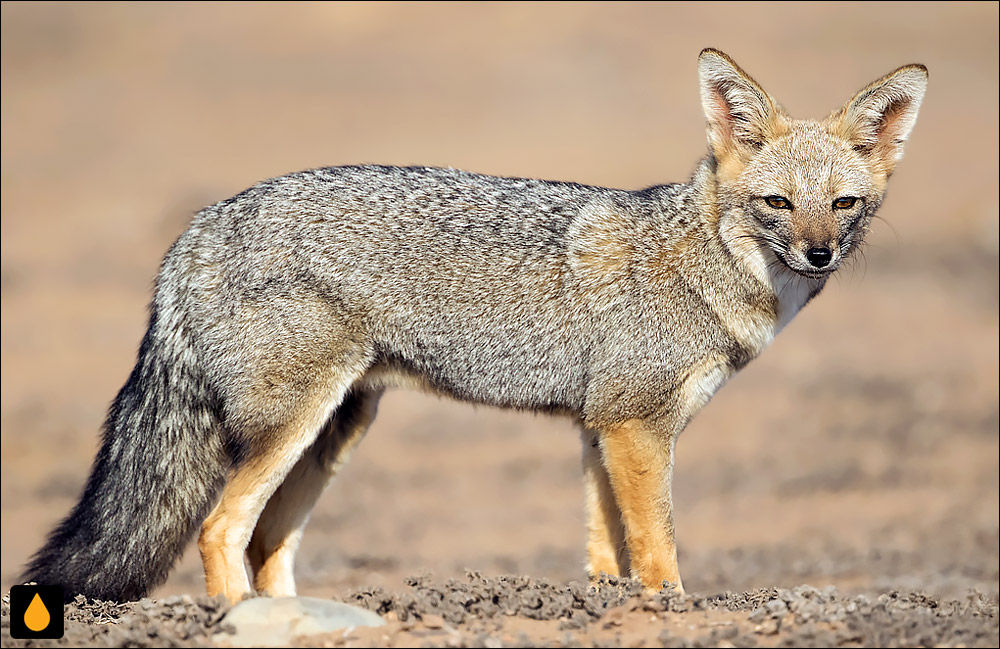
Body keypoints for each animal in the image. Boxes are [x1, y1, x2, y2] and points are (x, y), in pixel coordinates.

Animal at [25, 50, 928, 604]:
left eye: (844, 203)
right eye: (776, 202)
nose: (818, 253)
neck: (704, 262)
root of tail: (196, 230)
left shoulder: (600, 428)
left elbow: (609, 555)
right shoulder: (636, 427)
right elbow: (660, 550)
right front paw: (673, 609)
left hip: (334, 432)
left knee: (265, 543)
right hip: (293, 427)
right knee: (221, 530)